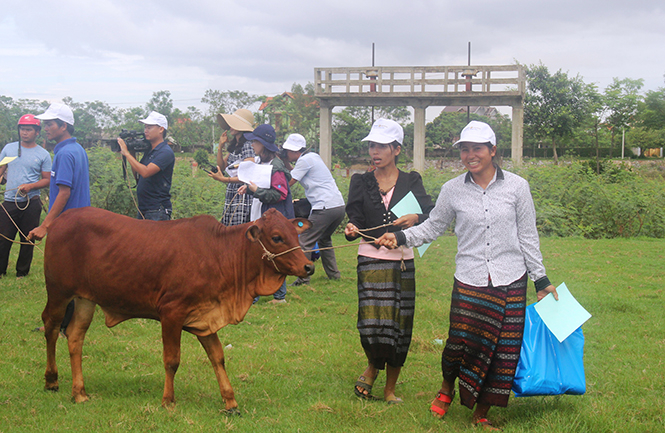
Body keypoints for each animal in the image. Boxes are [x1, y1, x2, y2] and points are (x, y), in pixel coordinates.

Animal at [42, 208, 314, 414]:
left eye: (295, 233)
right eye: (277, 237)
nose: (308, 266)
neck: (221, 254)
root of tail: (60, 219)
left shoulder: (206, 318)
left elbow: (218, 357)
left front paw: (230, 401)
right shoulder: (171, 313)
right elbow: (172, 360)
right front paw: (168, 401)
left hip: (85, 299)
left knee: (75, 336)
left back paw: (79, 392)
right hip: (58, 292)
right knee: (51, 327)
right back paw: (52, 380)